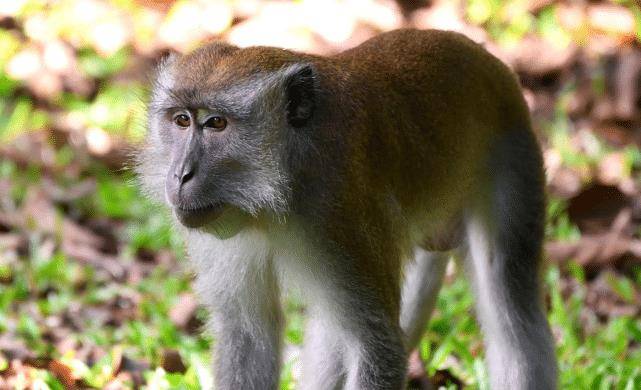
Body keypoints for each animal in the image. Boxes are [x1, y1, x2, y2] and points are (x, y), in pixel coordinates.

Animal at [138, 28, 556, 390]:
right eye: (181, 120)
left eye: (216, 124)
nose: (180, 174)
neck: (284, 187)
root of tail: (491, 62)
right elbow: (248, 334)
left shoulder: (341, 216)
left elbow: (378, 346)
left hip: (513, 155)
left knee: (510, 309)